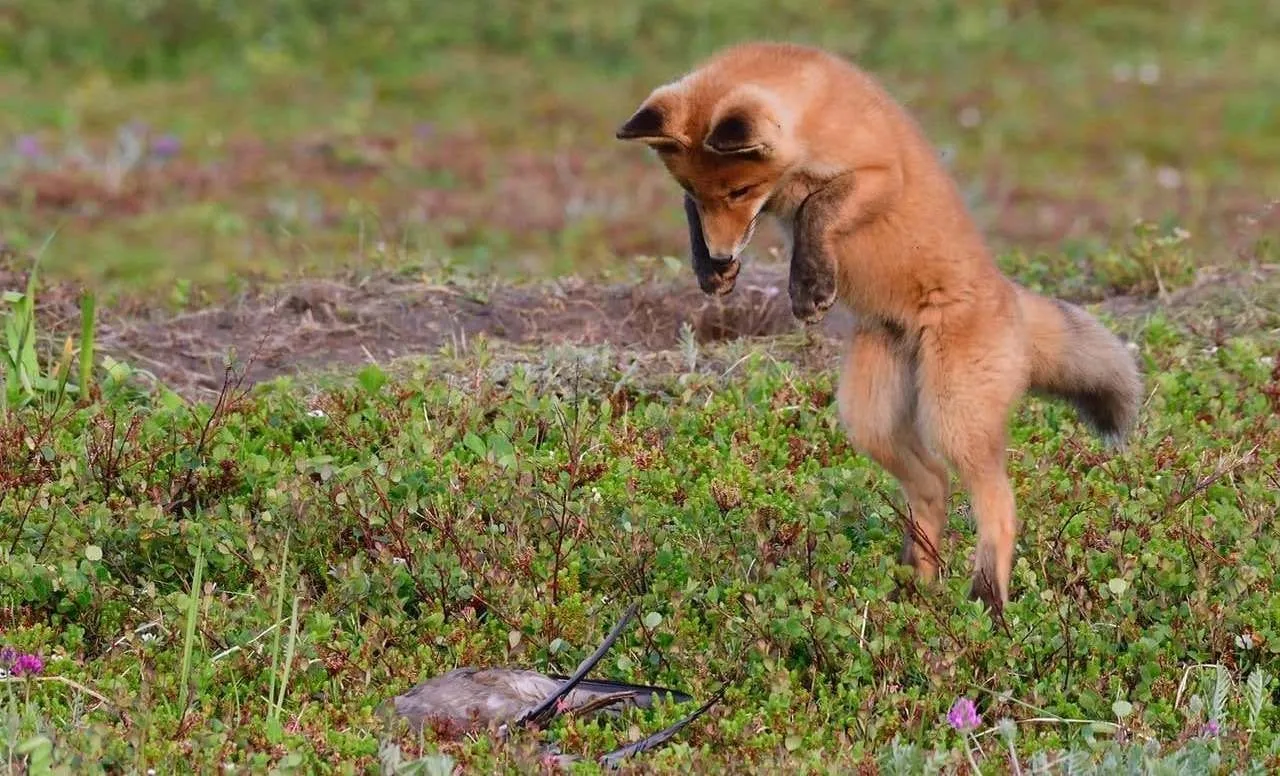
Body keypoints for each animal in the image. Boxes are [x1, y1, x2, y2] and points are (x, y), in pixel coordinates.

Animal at [614, 42, 1146, 617]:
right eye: (694, 188)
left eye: (741, 189)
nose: (721, 255)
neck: (816, 109)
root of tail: (1007, 293)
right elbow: (711, 216)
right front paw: (709, 270)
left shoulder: (880, 174)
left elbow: (817, 208)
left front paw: (808, 285)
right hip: (869, 420)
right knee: (933, 485)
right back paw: (916, 588)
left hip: (952, 418)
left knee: (1000, 505)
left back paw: (987, 603)